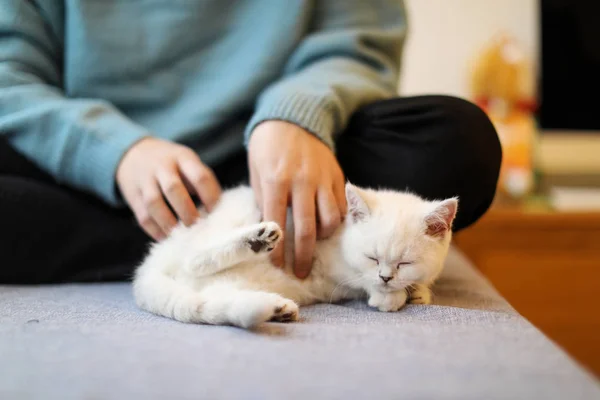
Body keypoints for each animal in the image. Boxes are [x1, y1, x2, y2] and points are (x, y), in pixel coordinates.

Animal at [132, 184, 460, 328]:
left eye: (405, 263)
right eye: (372, 258)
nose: (386, 276)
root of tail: (154, 262)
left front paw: (417, 291)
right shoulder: (331, 260)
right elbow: (358, 278)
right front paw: (389, 296)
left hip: (228, 286)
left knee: (218, 305)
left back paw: (275, 309)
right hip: (229, 222)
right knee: (196, 258)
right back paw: (256, 239)